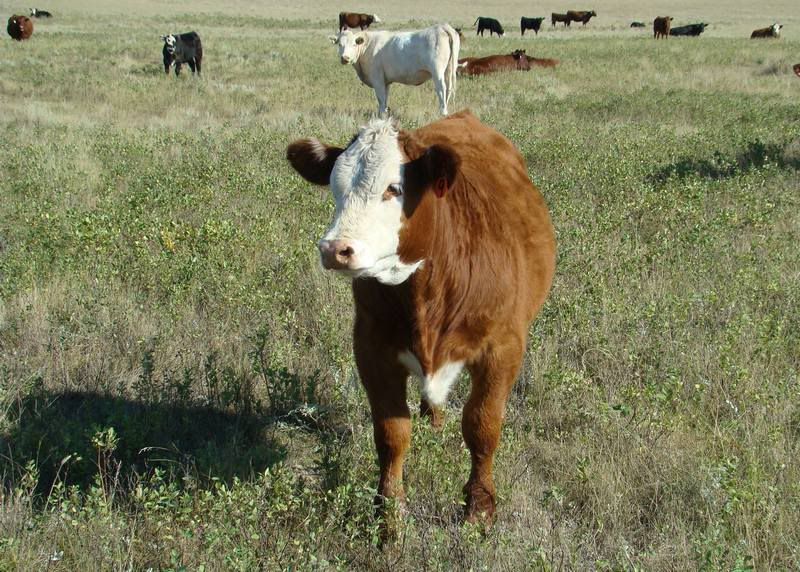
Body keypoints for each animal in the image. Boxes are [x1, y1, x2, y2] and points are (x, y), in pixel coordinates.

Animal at [285, 110, 556, 526]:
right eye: (334, 187)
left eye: (394, 188)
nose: (334, 249)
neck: (427, 295)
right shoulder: (371, 348)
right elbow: (391, 432)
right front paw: (389, 513)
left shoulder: (503, 348)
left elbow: (482, 424)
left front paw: (479, 507)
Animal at [330, 25, 460, 116]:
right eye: (340, 44)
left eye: (354, 44)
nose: (345, 58)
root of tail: (442, 27)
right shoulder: (385, 81)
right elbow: (385, 98)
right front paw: (384, 113)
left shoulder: (377, 78)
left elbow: (381, 98)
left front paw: (382, 115)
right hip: (449, 69)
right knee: (448, 88)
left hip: (437, 72)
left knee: (441, 89)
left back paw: (442, 112)